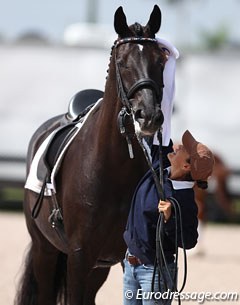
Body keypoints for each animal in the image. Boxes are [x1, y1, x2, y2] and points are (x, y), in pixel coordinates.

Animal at [15, 5, 168, 304]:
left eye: (161, 61)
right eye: (122, 62)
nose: (149, 116)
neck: (112, 165)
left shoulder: (127, 256)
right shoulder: (79, 256)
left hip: (98, 267)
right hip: (44, 250)